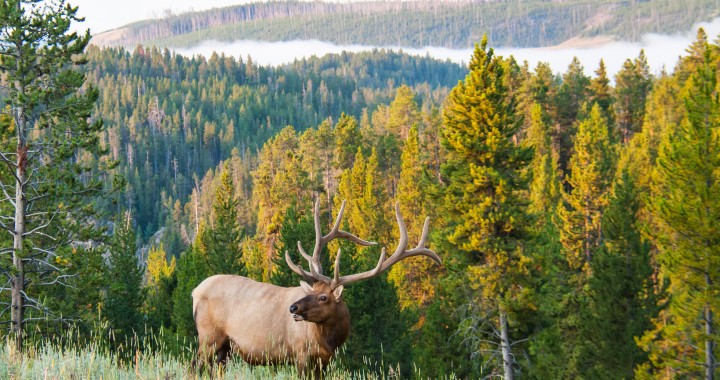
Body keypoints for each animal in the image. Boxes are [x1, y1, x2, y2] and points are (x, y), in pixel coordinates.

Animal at [188, 199, 442, 378]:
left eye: (322, 297)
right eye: (309, 292)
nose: (293, 308)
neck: (329, 340)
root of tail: (195, 291)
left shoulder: (324, 360)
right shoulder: (300, 354)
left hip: (226, 347)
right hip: (208, 336)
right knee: (194, 368)